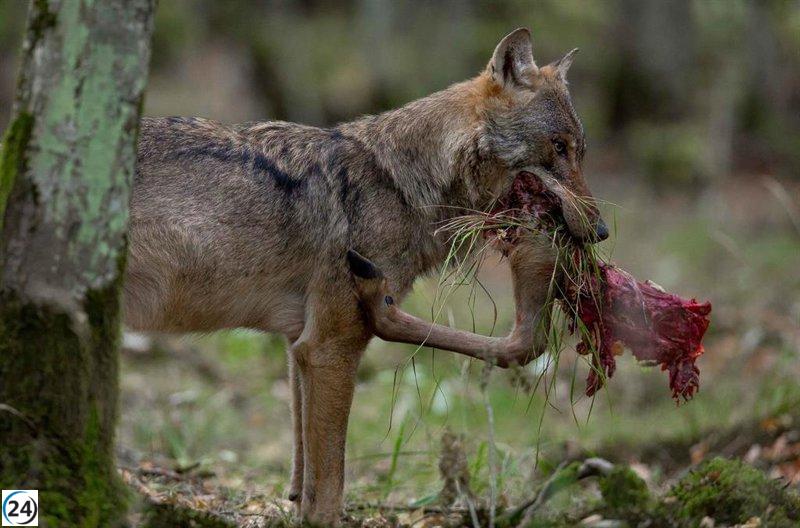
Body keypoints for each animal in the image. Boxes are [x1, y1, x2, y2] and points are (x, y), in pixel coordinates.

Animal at [126, 28, 607, 524]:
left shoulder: (299, 345)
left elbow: (304, 476)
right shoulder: (329, 347)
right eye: (558, 147)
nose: (602, 232)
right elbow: (330, 490)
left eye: (580, 151)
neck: (402, 187)